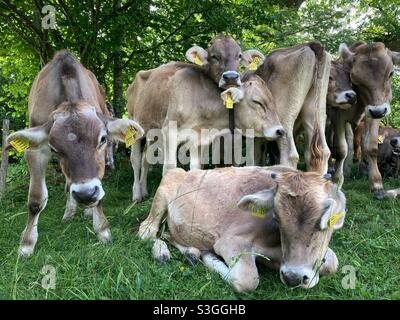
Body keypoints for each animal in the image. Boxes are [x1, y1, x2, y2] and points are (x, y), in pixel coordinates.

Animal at [6, 50, 144, 256]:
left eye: (102, 139)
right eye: (54, 148)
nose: (86, 194)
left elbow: (99, 192)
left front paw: (102, 230)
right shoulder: (35, 152)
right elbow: (36, 199)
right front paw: (26, 244)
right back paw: (70, 211)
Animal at [139, 166, 346, 292]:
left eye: (324, 223)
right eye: (277, 217)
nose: (292, 277)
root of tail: (186, 171)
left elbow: (332, 262)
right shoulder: (230, 240)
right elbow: (247, 280)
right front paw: (212, 258)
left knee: (171, 235)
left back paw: (192, 253)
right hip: (161, 197)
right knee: (147, 232)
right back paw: (162, 253)